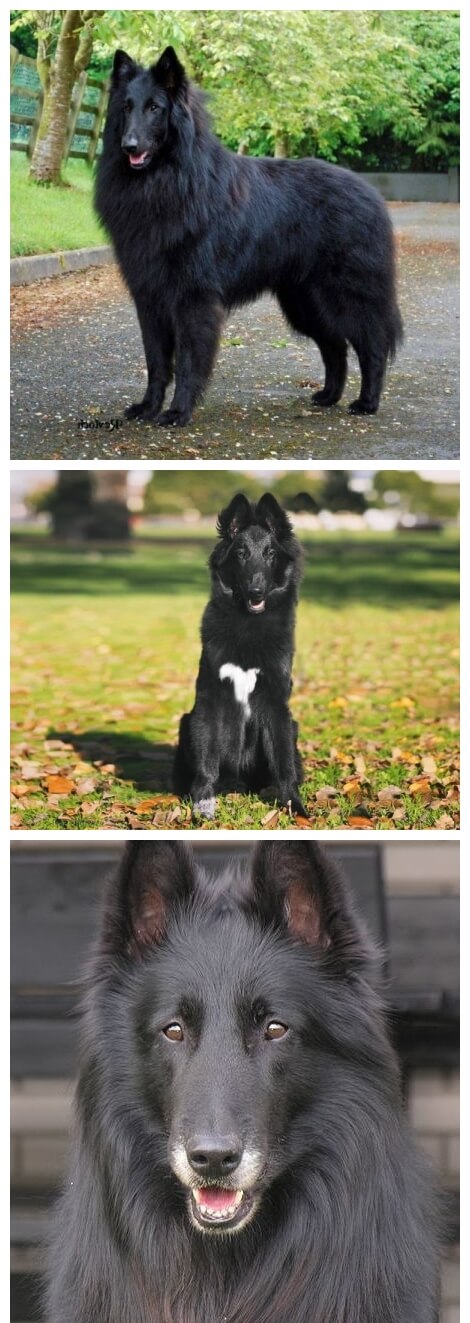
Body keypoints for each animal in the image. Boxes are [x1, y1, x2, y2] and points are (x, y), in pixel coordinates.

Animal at [96, 45, 405, 428]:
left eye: (155, 108)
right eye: (126, 107)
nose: (129, 146)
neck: (169, 182)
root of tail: (371, 192)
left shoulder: (193, 300)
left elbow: (187, 362)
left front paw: (179, 412)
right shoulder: (149, 299)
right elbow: (156, 362)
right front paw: (148, 407)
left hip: (347, 296)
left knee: (371, 345)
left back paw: (367, 402)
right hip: (304, 303)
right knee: (335, 346)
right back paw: (329, 396)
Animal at [173, 489, 305, 814]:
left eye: (270, 554)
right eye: (241, 554)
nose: (256, 592)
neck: (249, 623)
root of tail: (240, 783)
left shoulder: (277, 702)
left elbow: (283, 762)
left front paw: (294, 805)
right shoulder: (210, 697)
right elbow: (207, 761)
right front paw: (203, 800)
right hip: (186, 723)